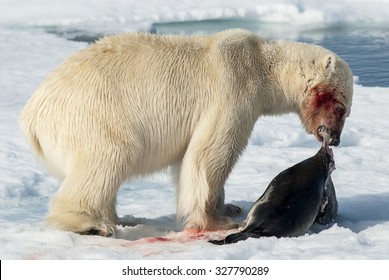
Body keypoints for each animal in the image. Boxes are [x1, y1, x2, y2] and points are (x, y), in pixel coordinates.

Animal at [19, 29, 354, 237]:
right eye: (340, 106)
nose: (335, 139)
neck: (263, 64)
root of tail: (32, 115)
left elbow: (192, 161)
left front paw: (228, 206)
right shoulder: (233, 86)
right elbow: (209, 153)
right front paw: (218, 221)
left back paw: (122, 217)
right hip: (93, 115)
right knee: (109, 158)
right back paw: (92, 224)